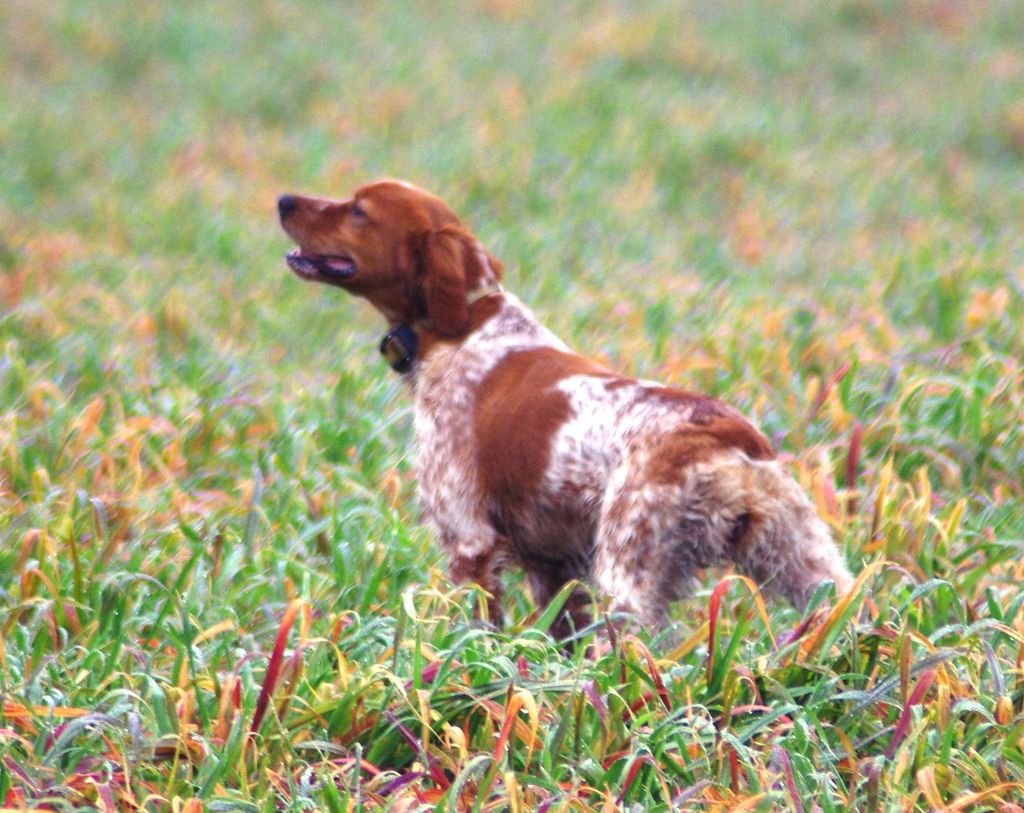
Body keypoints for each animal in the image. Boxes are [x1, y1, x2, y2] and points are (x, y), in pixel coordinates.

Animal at [276, 177, 851, 634]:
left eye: (358, 209)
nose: (283, 200)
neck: (461, 327)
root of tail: (731, 439)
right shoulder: (551, 565)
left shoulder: (469, 541)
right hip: (808, 564)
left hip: (628, 576)